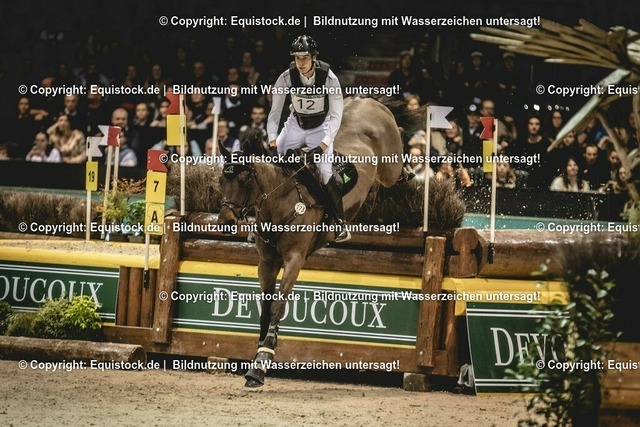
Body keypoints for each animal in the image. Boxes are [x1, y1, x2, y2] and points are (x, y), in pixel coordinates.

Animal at [217, 96, 422, 389]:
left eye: (244, 180)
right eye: (221, 179)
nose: (225, 222)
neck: (282, 201)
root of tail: (368, 100)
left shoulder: (294, 259)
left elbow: (278, 305)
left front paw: (263, 361)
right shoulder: (266, 263)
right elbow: (266, 307)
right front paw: (257, 356)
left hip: (389, 166)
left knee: (396, 167)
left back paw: (409, 169)